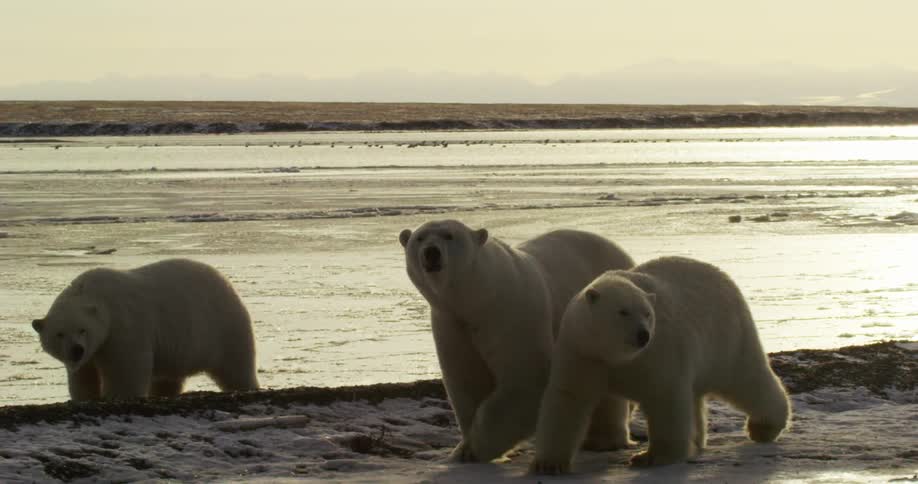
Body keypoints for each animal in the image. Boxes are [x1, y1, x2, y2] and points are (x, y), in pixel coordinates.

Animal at [32, 258, 259, 401]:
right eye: (59, 334)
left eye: (82, 330)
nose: (76, 349)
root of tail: (226, 283)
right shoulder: (92, 349)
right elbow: (84, 373)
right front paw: (85, 396)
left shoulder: (123, 325)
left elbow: (126, 364)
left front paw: (118, 394)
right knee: (169, 378)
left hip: (222, 326)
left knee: (236, 366)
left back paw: (248, 387)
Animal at [399, 219, 636, 463]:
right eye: (419, 238)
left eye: (449, 235)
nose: (431, 252)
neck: (478, 297)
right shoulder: (451, 324)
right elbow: (468, 380)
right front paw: (464, 449)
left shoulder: (511, 314)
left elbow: (525, 379)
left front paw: (475, 449)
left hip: (605, 320)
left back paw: (604, 441)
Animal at [531, 256, 791, 473]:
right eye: (623, 312)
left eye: (647, 313)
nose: (642, 335)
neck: (618, 356)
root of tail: (723, 275)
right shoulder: (583, 352)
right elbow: (569, 398)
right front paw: (549, 464)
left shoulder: (657, 353)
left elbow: (665, 397)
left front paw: (650, 457)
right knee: (698, 392)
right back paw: (697, 441)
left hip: (726, 337)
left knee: (746, 379)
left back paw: (763, 427)